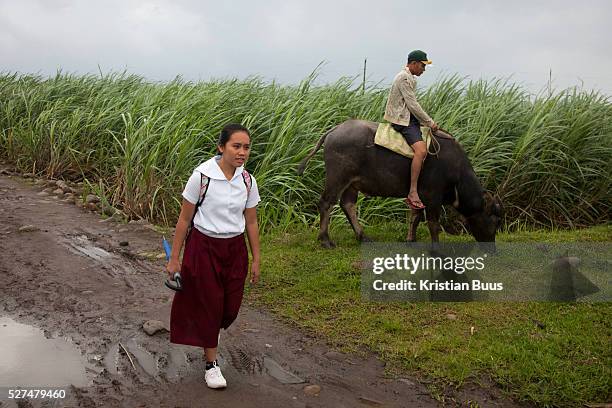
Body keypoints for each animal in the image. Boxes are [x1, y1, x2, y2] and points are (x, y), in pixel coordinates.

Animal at [296, 118, 502, 249]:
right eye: (494, 220)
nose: (491, 248)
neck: (457, 173)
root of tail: (333, 131)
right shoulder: (432, 197)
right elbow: (433, 223)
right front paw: (436, 248)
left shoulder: (418, 195)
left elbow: (415, 217)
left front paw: (411, 239)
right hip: (337, 178)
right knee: (326, 203)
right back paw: (325, 241)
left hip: (352, 184)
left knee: (347, 205)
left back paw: (363, 236)